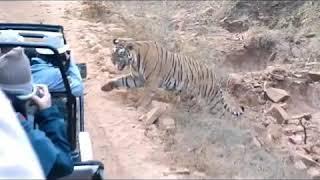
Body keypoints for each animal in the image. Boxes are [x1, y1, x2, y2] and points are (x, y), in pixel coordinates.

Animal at [101, 38, 244, 116]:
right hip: (189, 95)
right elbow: (121, 80)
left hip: (212, 101)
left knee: (221, 115)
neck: (135, 61)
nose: (112, 61)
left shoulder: (151, 82)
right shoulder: (137, 78)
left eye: (120, 54)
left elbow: (145, 96)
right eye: (113, 53)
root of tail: (216, 78)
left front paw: (139, 107)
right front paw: (106, 87)